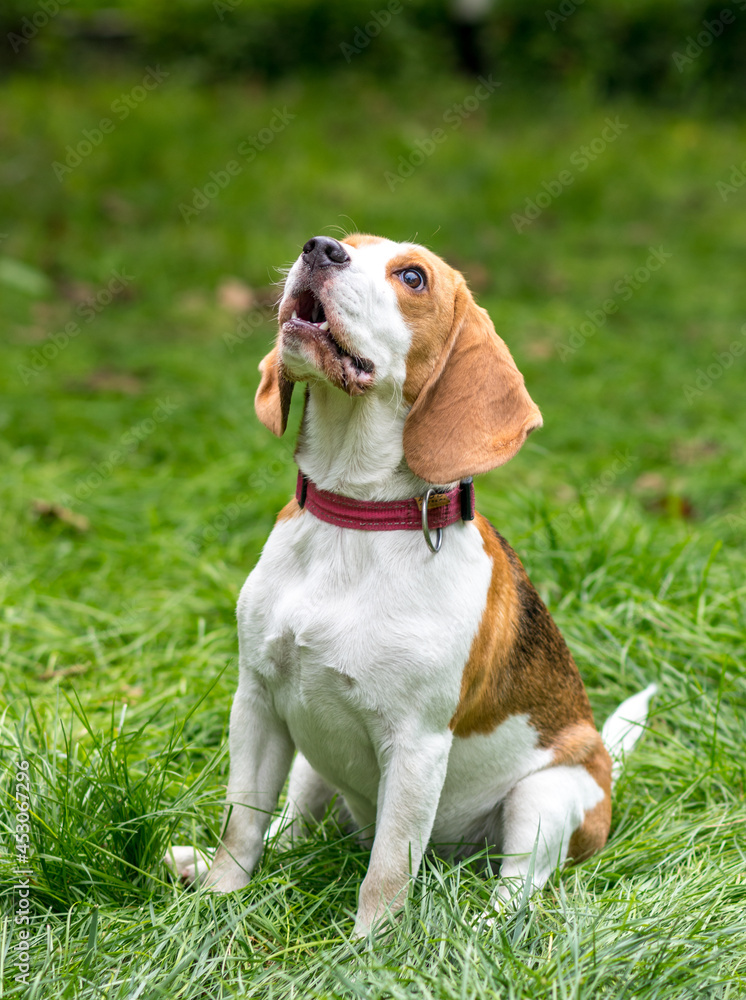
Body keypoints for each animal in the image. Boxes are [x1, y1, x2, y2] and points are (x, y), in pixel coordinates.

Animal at [167, 236, 652, 936]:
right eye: (345, 243)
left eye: (414, 277)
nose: (319, 249)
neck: (355, 518)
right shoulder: (256, 701)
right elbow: (243, 826)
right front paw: (218, 901)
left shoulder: (415, 746)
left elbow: (388, 873)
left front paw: (367, 948)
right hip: (311, 759)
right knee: (291, 828)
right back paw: (202, 865)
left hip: (544, 797)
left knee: (519, 886)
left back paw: (480, 930)